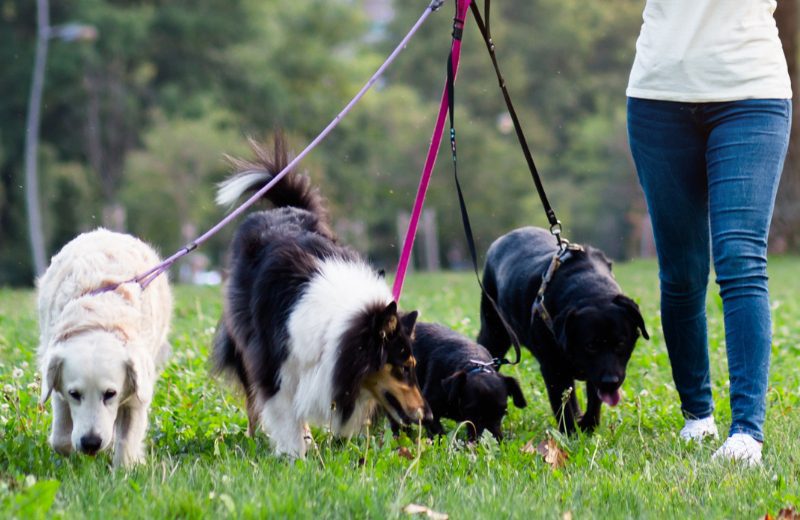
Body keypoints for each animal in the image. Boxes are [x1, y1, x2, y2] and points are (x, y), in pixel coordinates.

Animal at [36, 228, 172, 468]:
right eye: (74, 394)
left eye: (110, 394)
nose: (91, 443)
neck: (98, 318)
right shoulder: (57, 387)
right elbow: (61, 439)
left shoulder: (138, 391)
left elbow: (126, 444)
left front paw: (123, 469)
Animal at [478, 225, 648, 432]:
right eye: (590, 346)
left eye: (621, 343)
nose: (610, 382)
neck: (590, 291)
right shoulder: (554, 369)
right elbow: (562, 406)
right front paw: (570, 433)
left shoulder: (594, 373)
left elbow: (593, 399)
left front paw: (588, 425)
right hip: (494, 333)